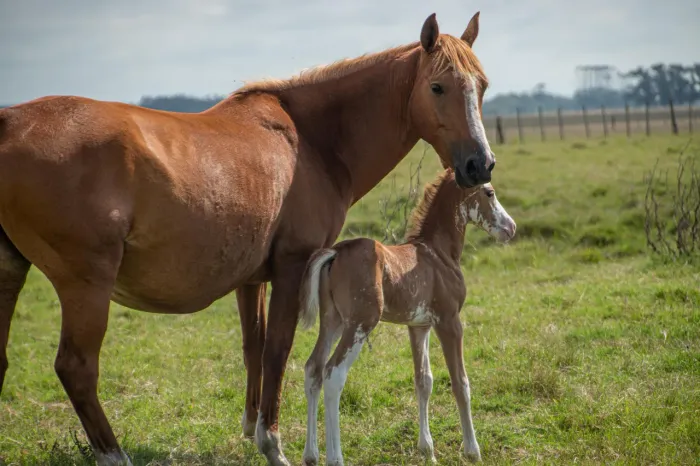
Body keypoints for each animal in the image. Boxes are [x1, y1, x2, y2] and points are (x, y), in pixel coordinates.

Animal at [298, 170, 516, 465]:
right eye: (489, 192)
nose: (511, 228)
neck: (438, 254)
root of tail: (336, 252)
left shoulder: (419, 326)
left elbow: (423, 380)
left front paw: (427, 450)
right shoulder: (449, 322)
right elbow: (460, 383)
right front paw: (473, 451)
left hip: (333, 322)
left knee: (314, 369)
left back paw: (311, 455)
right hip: (359, 325)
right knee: (334, 374)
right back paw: (335, 458)